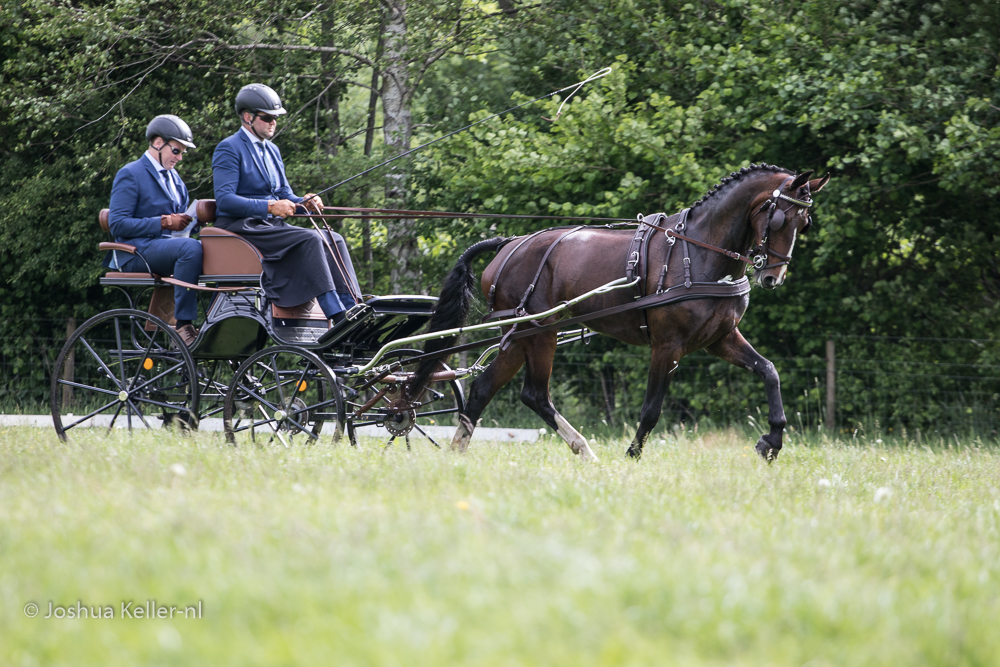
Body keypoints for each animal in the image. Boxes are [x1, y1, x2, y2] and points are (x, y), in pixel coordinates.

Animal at [410, 164, 832, 462]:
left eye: (805, 222)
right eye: (778, 219)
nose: (773, 276)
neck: (699, 250)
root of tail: (509, 244)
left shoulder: (720, 339)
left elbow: (769, 371)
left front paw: (772, 441)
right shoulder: (668, 345)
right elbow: (652, 408)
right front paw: (632, 455)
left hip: (520, 336)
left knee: (487, 388)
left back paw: (461, 452)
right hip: (539, 331)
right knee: (534, 394)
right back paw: (580, 448)